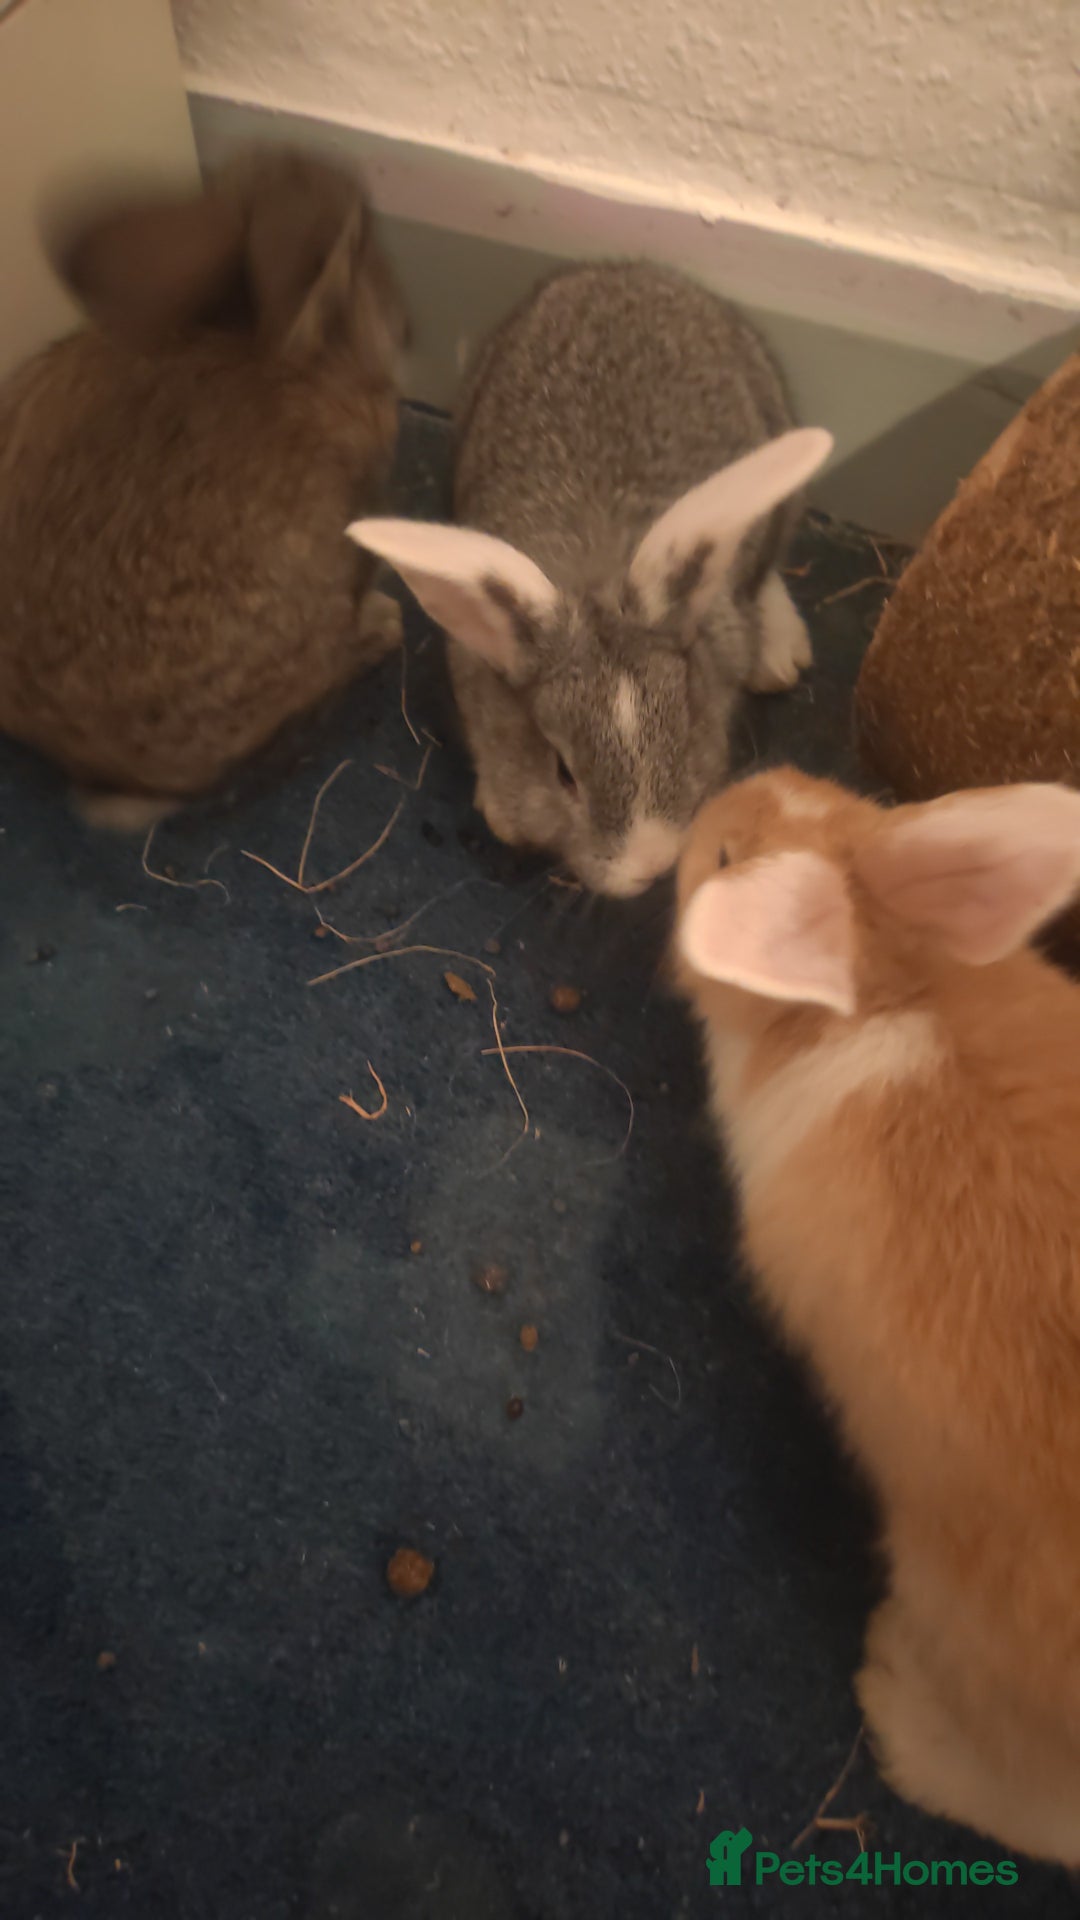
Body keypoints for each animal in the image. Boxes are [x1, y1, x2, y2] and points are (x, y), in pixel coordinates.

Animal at [347, 261, 832, 895]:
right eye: (563, 773)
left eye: (686, 730)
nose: (651, 864)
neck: (595, 579)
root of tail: (626, 269)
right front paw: (503, 813)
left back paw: (779, 655)